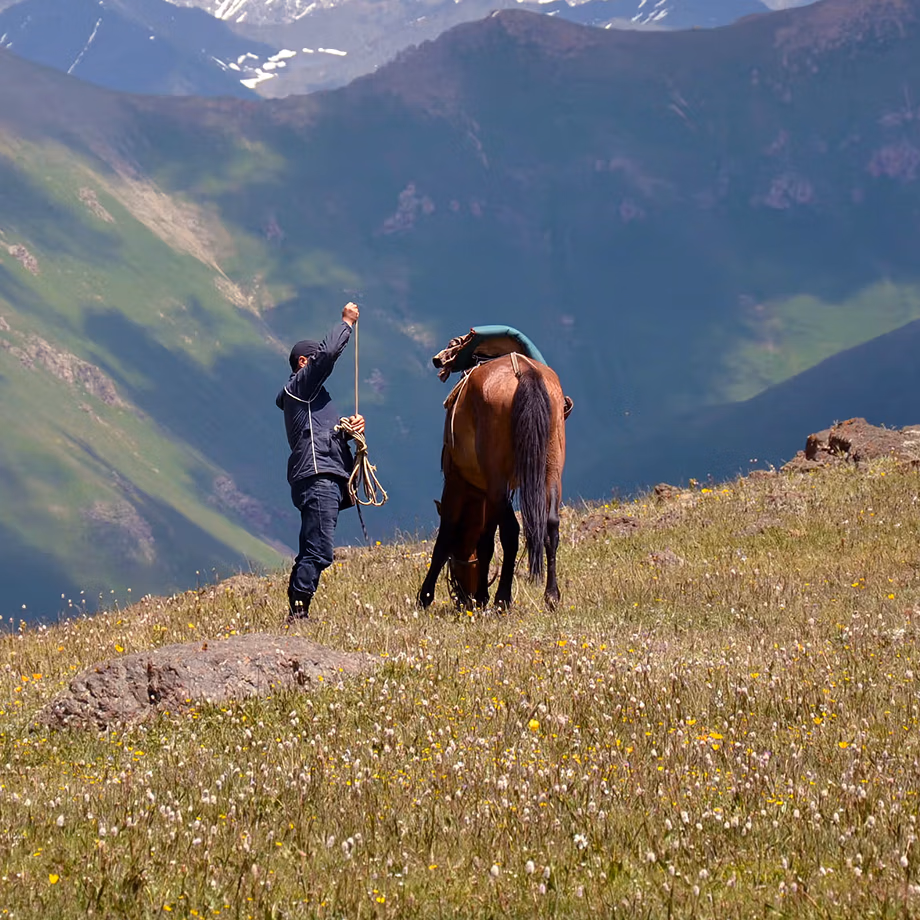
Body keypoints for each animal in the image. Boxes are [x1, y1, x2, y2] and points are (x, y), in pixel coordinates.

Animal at [417, 347, 567, 609]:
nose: (463, 597)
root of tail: (526, 372)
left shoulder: (457, 483)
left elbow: (445, 538)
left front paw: (425, 596)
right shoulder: (488, 493)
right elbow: (486, 540)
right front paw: (482, 595)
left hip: (498, 481)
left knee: (511, 532)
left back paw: (502, 598)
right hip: (551, 472)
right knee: (551, 526)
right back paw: (551, 595)